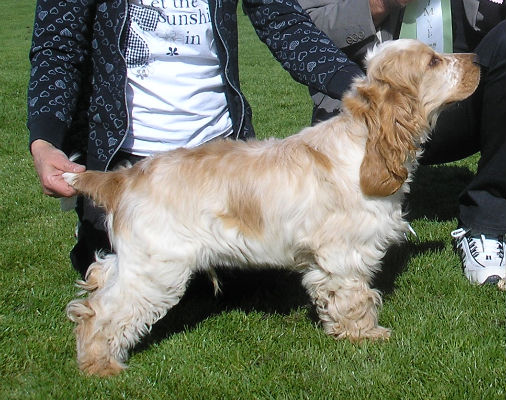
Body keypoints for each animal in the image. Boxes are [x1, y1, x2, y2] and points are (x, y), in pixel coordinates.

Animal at [62, 40, 478, 376]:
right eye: (433, 61)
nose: (475, 58)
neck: (364, 143)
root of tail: (123, 178)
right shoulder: (343, 254)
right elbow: (355, 297)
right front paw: (366, 334)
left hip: (135, 261)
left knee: (96, 285)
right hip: (156, 269)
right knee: (102, 314)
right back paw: (101, 366)